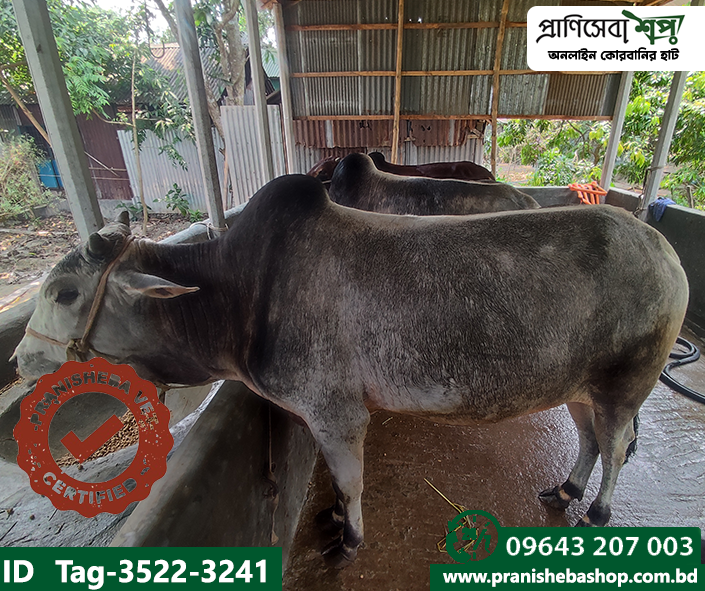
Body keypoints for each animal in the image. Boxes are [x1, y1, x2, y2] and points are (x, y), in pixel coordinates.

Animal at [15, 175, 688, 568]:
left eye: (67, 293)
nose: (21, 359)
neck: (241, 293)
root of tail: (663, 250)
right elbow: (338, 486)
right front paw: (336, 520)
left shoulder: (336, 413)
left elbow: (350, 482)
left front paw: (349, 540)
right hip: (580, 387)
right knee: (590, 439)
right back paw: (567, 490)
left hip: (624, 385)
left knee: (618, 444)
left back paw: (598, 512)